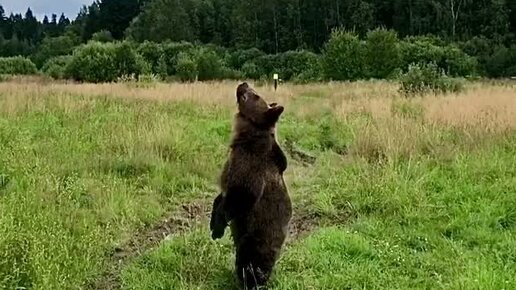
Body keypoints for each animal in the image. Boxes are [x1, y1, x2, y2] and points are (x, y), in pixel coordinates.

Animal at [209, 82, 290, 288]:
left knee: (251, 263)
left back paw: (251, 281)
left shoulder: (250, 167)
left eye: (255, 95)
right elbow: (221, 196)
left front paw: (218, 226)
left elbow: (241, 196)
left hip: (256, 239)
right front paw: (213, 224)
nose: (244, 84)